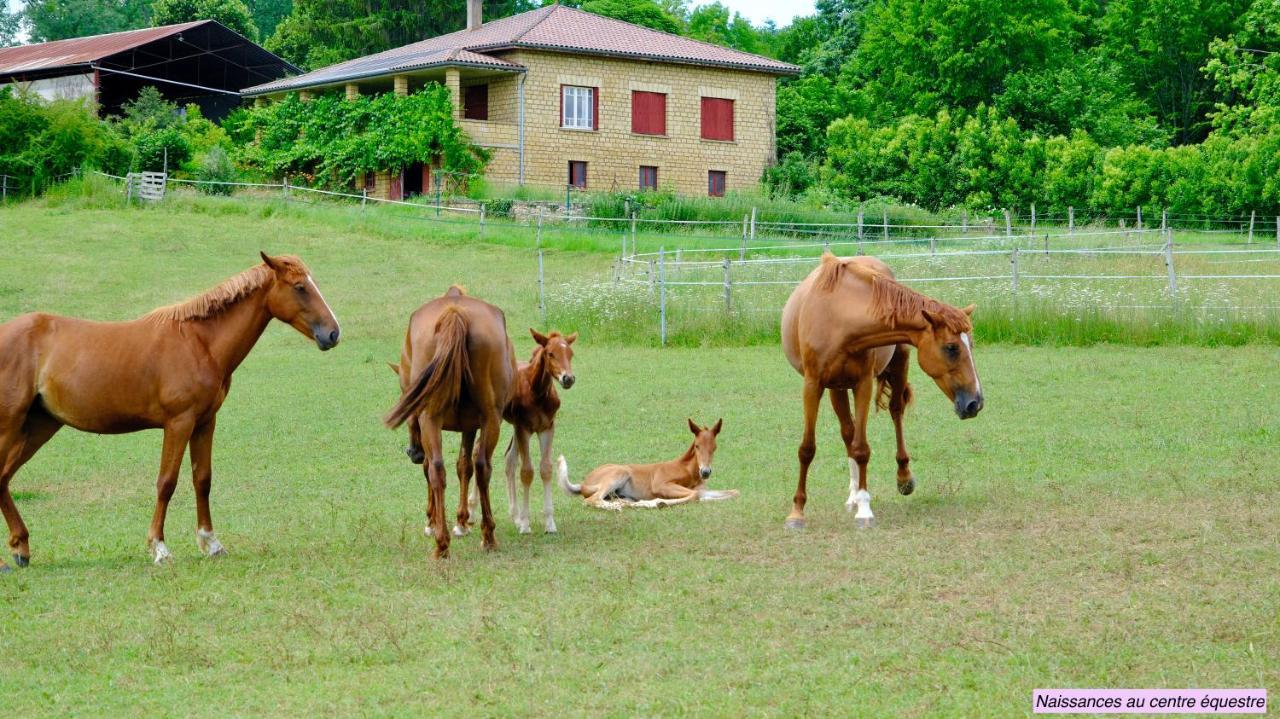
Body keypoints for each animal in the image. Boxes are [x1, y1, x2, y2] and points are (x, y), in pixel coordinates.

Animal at [0, 252, 340, 565]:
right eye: (299, 287)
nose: (333, 333)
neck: (199, 342)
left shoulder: (205, 422)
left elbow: (202, 479)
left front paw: (211, 543)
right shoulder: (179, 423)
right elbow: (167, 482)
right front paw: (159, 548)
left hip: (39, 427)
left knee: (3, 478)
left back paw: (21, 548)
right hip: (11, 426)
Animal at [384, 282, 514, 557]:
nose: (413, 452)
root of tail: (455, 313)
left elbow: (444, 467)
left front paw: (433, 521)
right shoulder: (470, 426)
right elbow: (464, 466)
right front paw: (459, 522)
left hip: (436, 419)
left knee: (436, 468)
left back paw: (448, 540)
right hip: (490, 419)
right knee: (476, 467)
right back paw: (478, 538)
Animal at [555, 417, 737, 506]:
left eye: (714, 447)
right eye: (697, 446)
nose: (705, 472)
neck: (688, 471)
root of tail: (583, 483)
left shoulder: (702, 489)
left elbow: (734, 492)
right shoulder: (660, 484)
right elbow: (694, 495)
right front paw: (659, 502)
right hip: (620, 472)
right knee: (591, 500)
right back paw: (620, 506)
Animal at [778, 252, 977, 527]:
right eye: (951, 348)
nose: (975, 402)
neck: (838, 316)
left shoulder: (863, 383)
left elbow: (862, 448)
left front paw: (864, 509)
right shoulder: (813, 384)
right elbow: (808, 448)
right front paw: (797, 511)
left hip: (898, 363)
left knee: (895, 412)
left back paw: (903, 478)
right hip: (836, 388)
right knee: (847, 431)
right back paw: (852, 494)